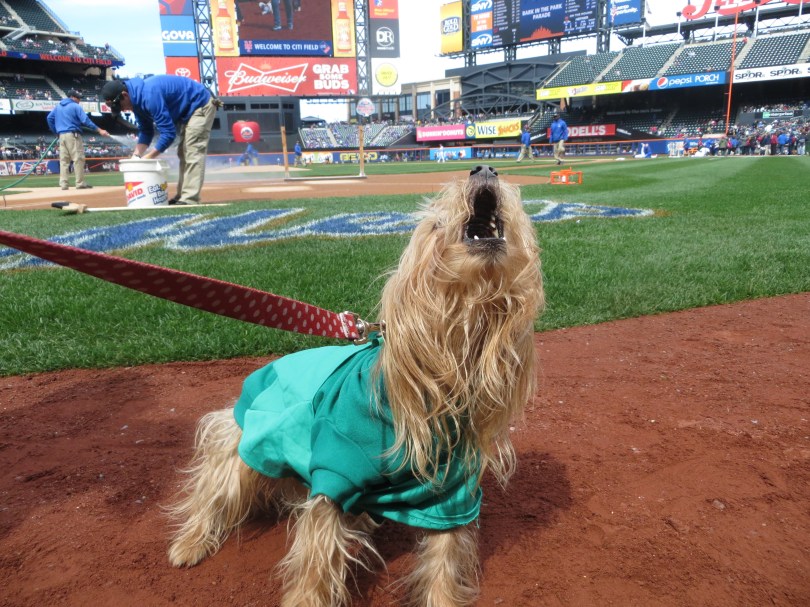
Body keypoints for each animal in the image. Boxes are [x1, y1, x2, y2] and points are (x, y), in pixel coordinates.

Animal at [167, 165, 544, 606]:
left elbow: (443, 564)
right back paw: (190, 542)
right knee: (213, 490)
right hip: (244, 440)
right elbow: (317, 556)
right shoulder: (334, 469)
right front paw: (306, 598)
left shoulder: (451, 495)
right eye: (435, 222)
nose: (483, 168)